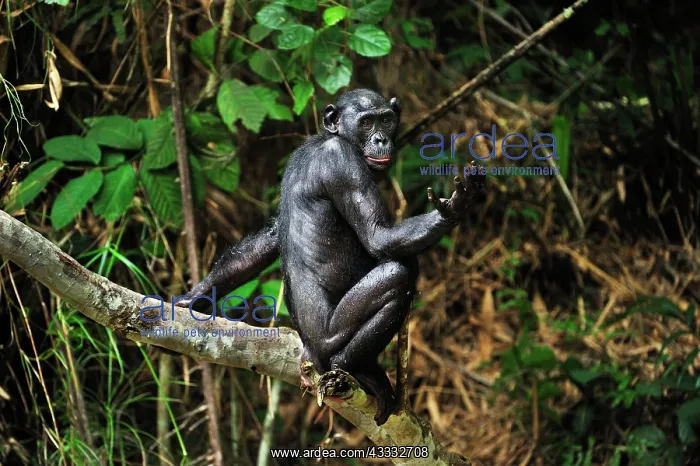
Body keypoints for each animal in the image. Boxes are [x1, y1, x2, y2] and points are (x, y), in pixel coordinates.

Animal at [182, 89, 484, 425]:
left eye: (386, 120)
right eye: (366, 123)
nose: (380, 138)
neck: (330, 138)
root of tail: (310, 353)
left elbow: (271, 235)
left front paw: (195, 295)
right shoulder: (343, 163)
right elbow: (378, 236)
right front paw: (453, 209)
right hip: (328, 338)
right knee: (398, 273)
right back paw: (357, 368)